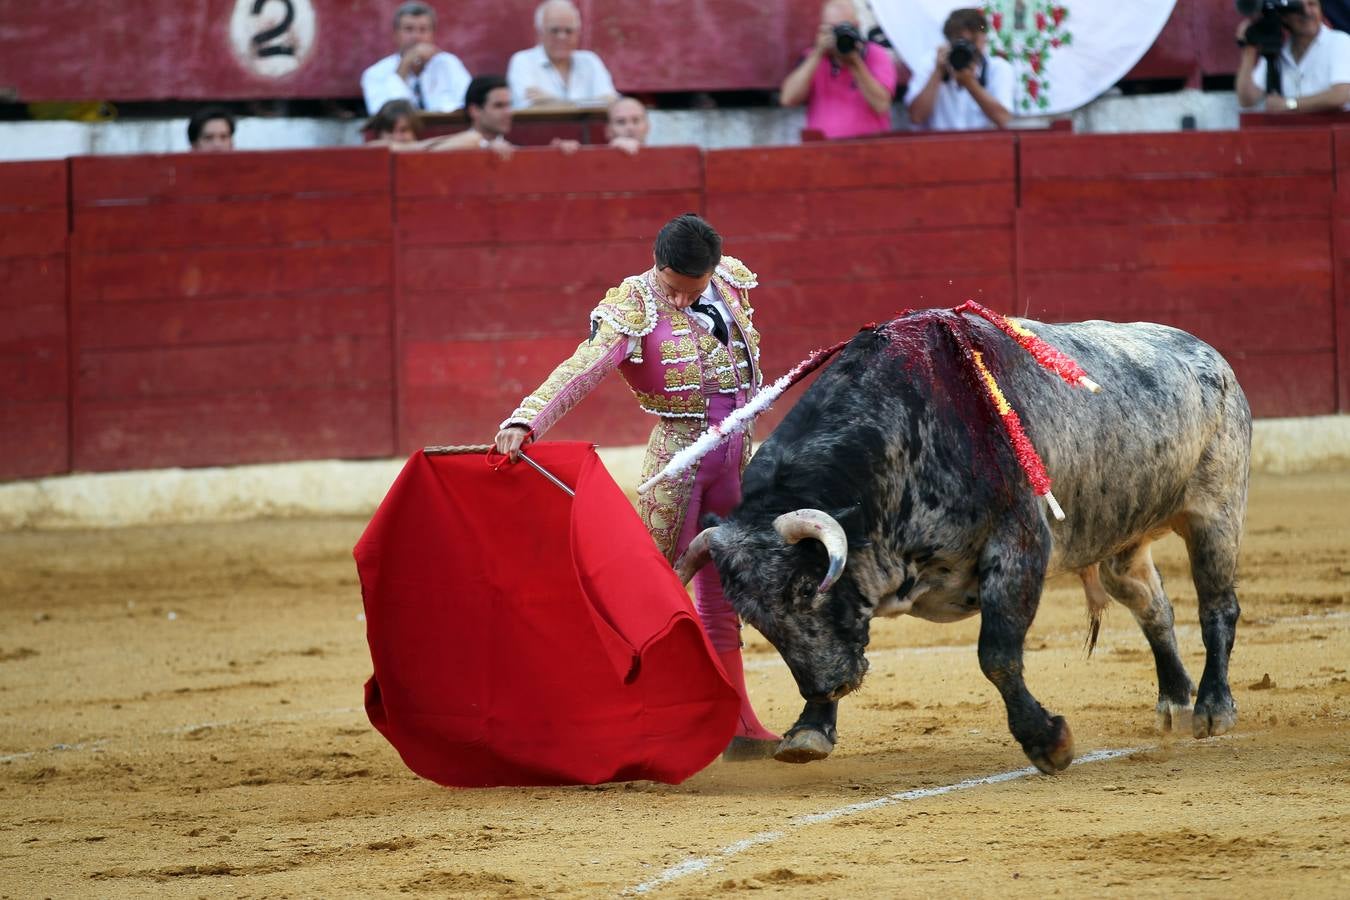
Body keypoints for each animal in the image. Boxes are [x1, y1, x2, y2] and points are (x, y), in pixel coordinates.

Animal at [680, 311, 1247, 777]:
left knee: (1217, 607)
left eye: (805, 588)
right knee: (1154, 607)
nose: (827, 687)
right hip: (1122, 541)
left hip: (1215, 515)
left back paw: (1213, 709)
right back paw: (1173, 700)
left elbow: (996, 655)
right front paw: (809, 730)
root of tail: (1211, 355)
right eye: (756, 618)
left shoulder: (1018, 547)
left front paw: (1048, 743)